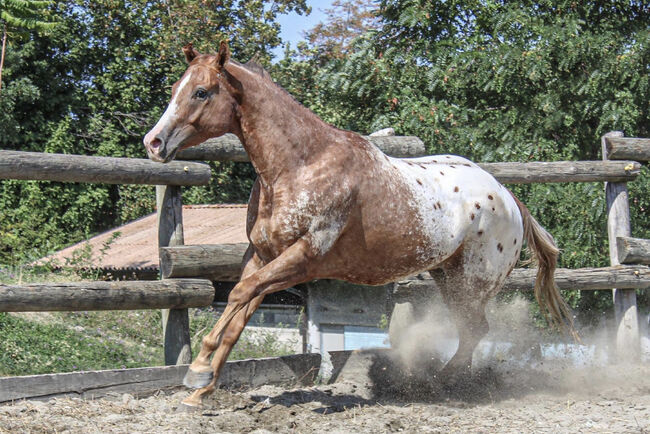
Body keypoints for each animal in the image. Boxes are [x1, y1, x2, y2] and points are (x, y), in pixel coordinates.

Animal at [143, 42, 572, 408]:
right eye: (176, 88)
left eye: (201, 92)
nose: (154, 142)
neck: (299, 166)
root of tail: (508, 196)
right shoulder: (261, 256)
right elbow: (238, 316)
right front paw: (200, 391)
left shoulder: (304, 259)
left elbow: (238, 295)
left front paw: (198, 372)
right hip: (447, 276)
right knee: (470, 331)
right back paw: (445, 383)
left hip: (474, 282)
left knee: (475, 331)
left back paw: (446, 385)